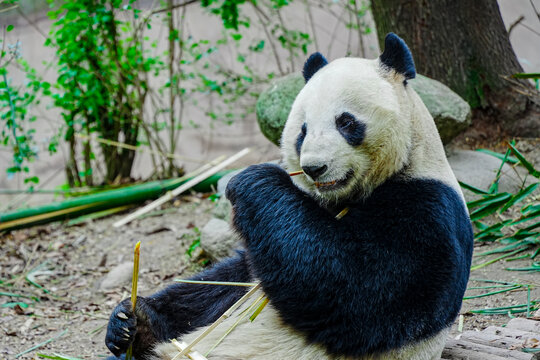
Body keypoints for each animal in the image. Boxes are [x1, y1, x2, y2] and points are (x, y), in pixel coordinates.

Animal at [104, 33, 472, 360]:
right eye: (302, 131)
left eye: (346, 122)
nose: (314, 168)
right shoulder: (264, 250)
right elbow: (230, 280)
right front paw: (133, 319)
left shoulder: (426, 207)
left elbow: (355, 288)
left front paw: (253, 180)